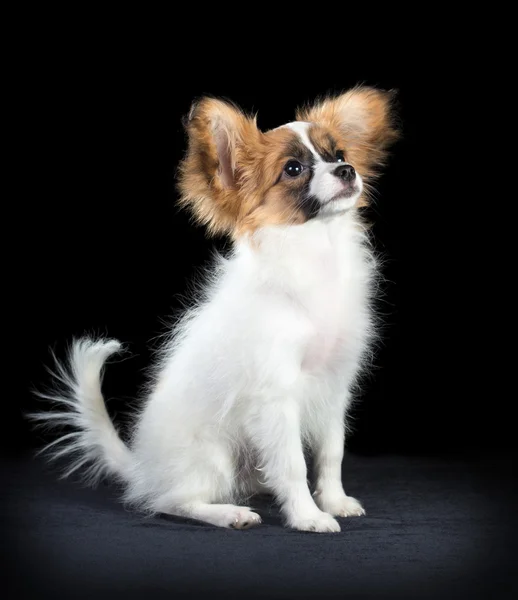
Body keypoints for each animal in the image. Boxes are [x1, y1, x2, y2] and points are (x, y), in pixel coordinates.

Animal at [32, 86, 400, 532]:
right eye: (293, 168)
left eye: (340, 153)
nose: (346, 170)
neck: (316, 252)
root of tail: (142, 468)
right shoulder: (275, 398)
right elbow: (293, 464)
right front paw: (308, 517)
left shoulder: (334, 388)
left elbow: (331, 454)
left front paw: (333, 501)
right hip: (213, 456)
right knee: (173, 501)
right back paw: (229, 513)